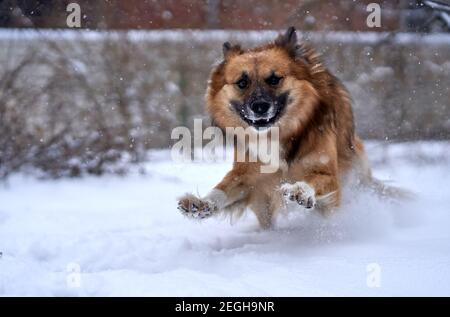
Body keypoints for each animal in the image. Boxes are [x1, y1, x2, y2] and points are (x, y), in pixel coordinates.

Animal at [176, 25, 376, 227]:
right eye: (242, 83)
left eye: (274, 79)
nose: (259, 107)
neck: (278, 134)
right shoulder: (248, 177)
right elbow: (223, 189)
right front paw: (201, 204)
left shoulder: (328, 176)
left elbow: (312, 181)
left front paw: (300, 191)